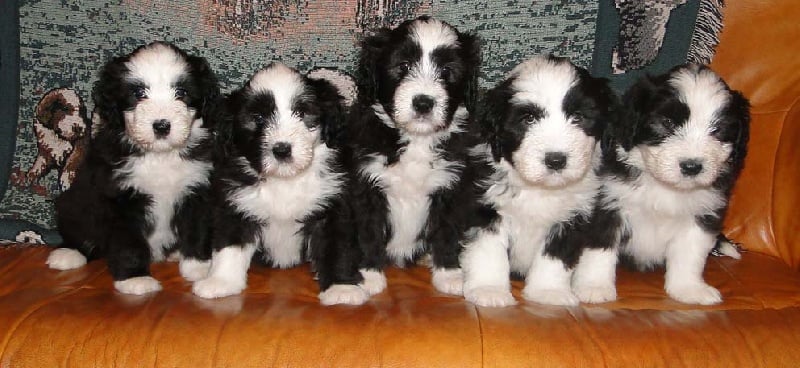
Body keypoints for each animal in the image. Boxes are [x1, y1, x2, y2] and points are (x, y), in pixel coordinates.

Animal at [47, 40, 222, 294]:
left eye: (181, 93)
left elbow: (196, 230)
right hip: (73, 203)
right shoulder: (121, 199)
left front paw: (199, 268)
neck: (160, 157)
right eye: (139, 94)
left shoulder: (197, 190)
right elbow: (129, 243)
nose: (161, 126)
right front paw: (135, 279)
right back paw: (68, 253)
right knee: (80, 231)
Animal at [191, 62, 366, 304]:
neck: (284, 180)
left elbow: (336, 247)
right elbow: (229, 246)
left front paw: (342, 289)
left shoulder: (331, 206)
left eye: (302, 113)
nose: (281, 150)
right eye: (258, 118)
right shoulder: (235, 205)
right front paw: (221, 282)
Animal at [348, 16, 482, 296]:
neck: (418, 140)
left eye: (446, 72)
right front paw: (369, 274)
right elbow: (369, 231)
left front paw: (449, 273)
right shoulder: (366, 186)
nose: (423, 102)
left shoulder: (452, 187)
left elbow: (447, 231)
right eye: (404, 65)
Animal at [460, 55, 620, 308]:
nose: (556, 160)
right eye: (528, 119)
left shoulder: (572, 217)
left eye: (578, 117)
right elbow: (488, 250)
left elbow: (554, 257)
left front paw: (548, 292)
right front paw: (489, 290)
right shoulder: (485, 207)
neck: (539, 188)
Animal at [604, 64, 752, 304]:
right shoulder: (610, 203)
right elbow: (599, 254)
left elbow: (689, 255)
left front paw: (688, 289)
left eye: (717, 130)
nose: (691, 166)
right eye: (667, 123)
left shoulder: (702, 216)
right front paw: (594, 287)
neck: (666, 187)